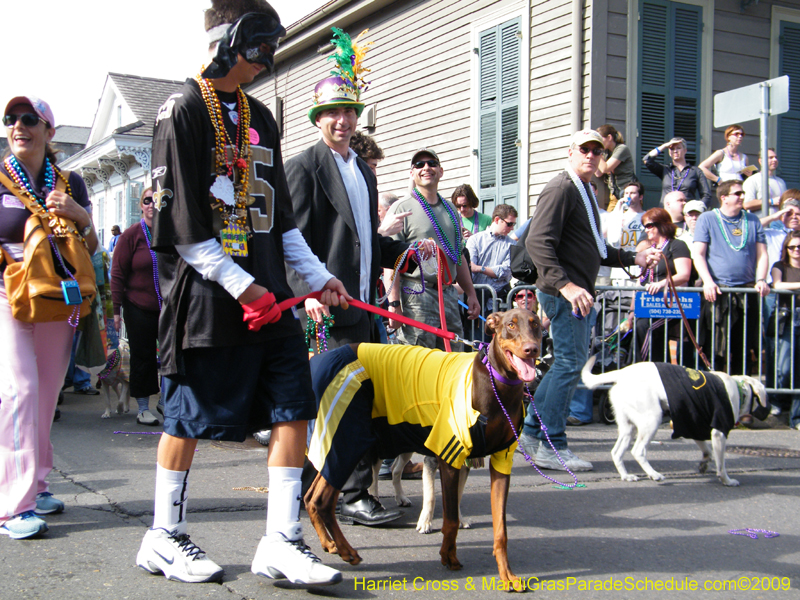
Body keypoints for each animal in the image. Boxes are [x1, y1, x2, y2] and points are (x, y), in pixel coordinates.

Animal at [580, 356, 772, 488]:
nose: (771, 409)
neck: (739, 389)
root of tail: (623, 372)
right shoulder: (719, 433)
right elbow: (721, 464)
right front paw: (727, 480)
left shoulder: (694, 425)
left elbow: (707, 451)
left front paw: (704, 464)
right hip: (652, 419)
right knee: (638, 451)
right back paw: (654, 474)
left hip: (629, 427)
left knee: (616, 452)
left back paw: (627, 476)